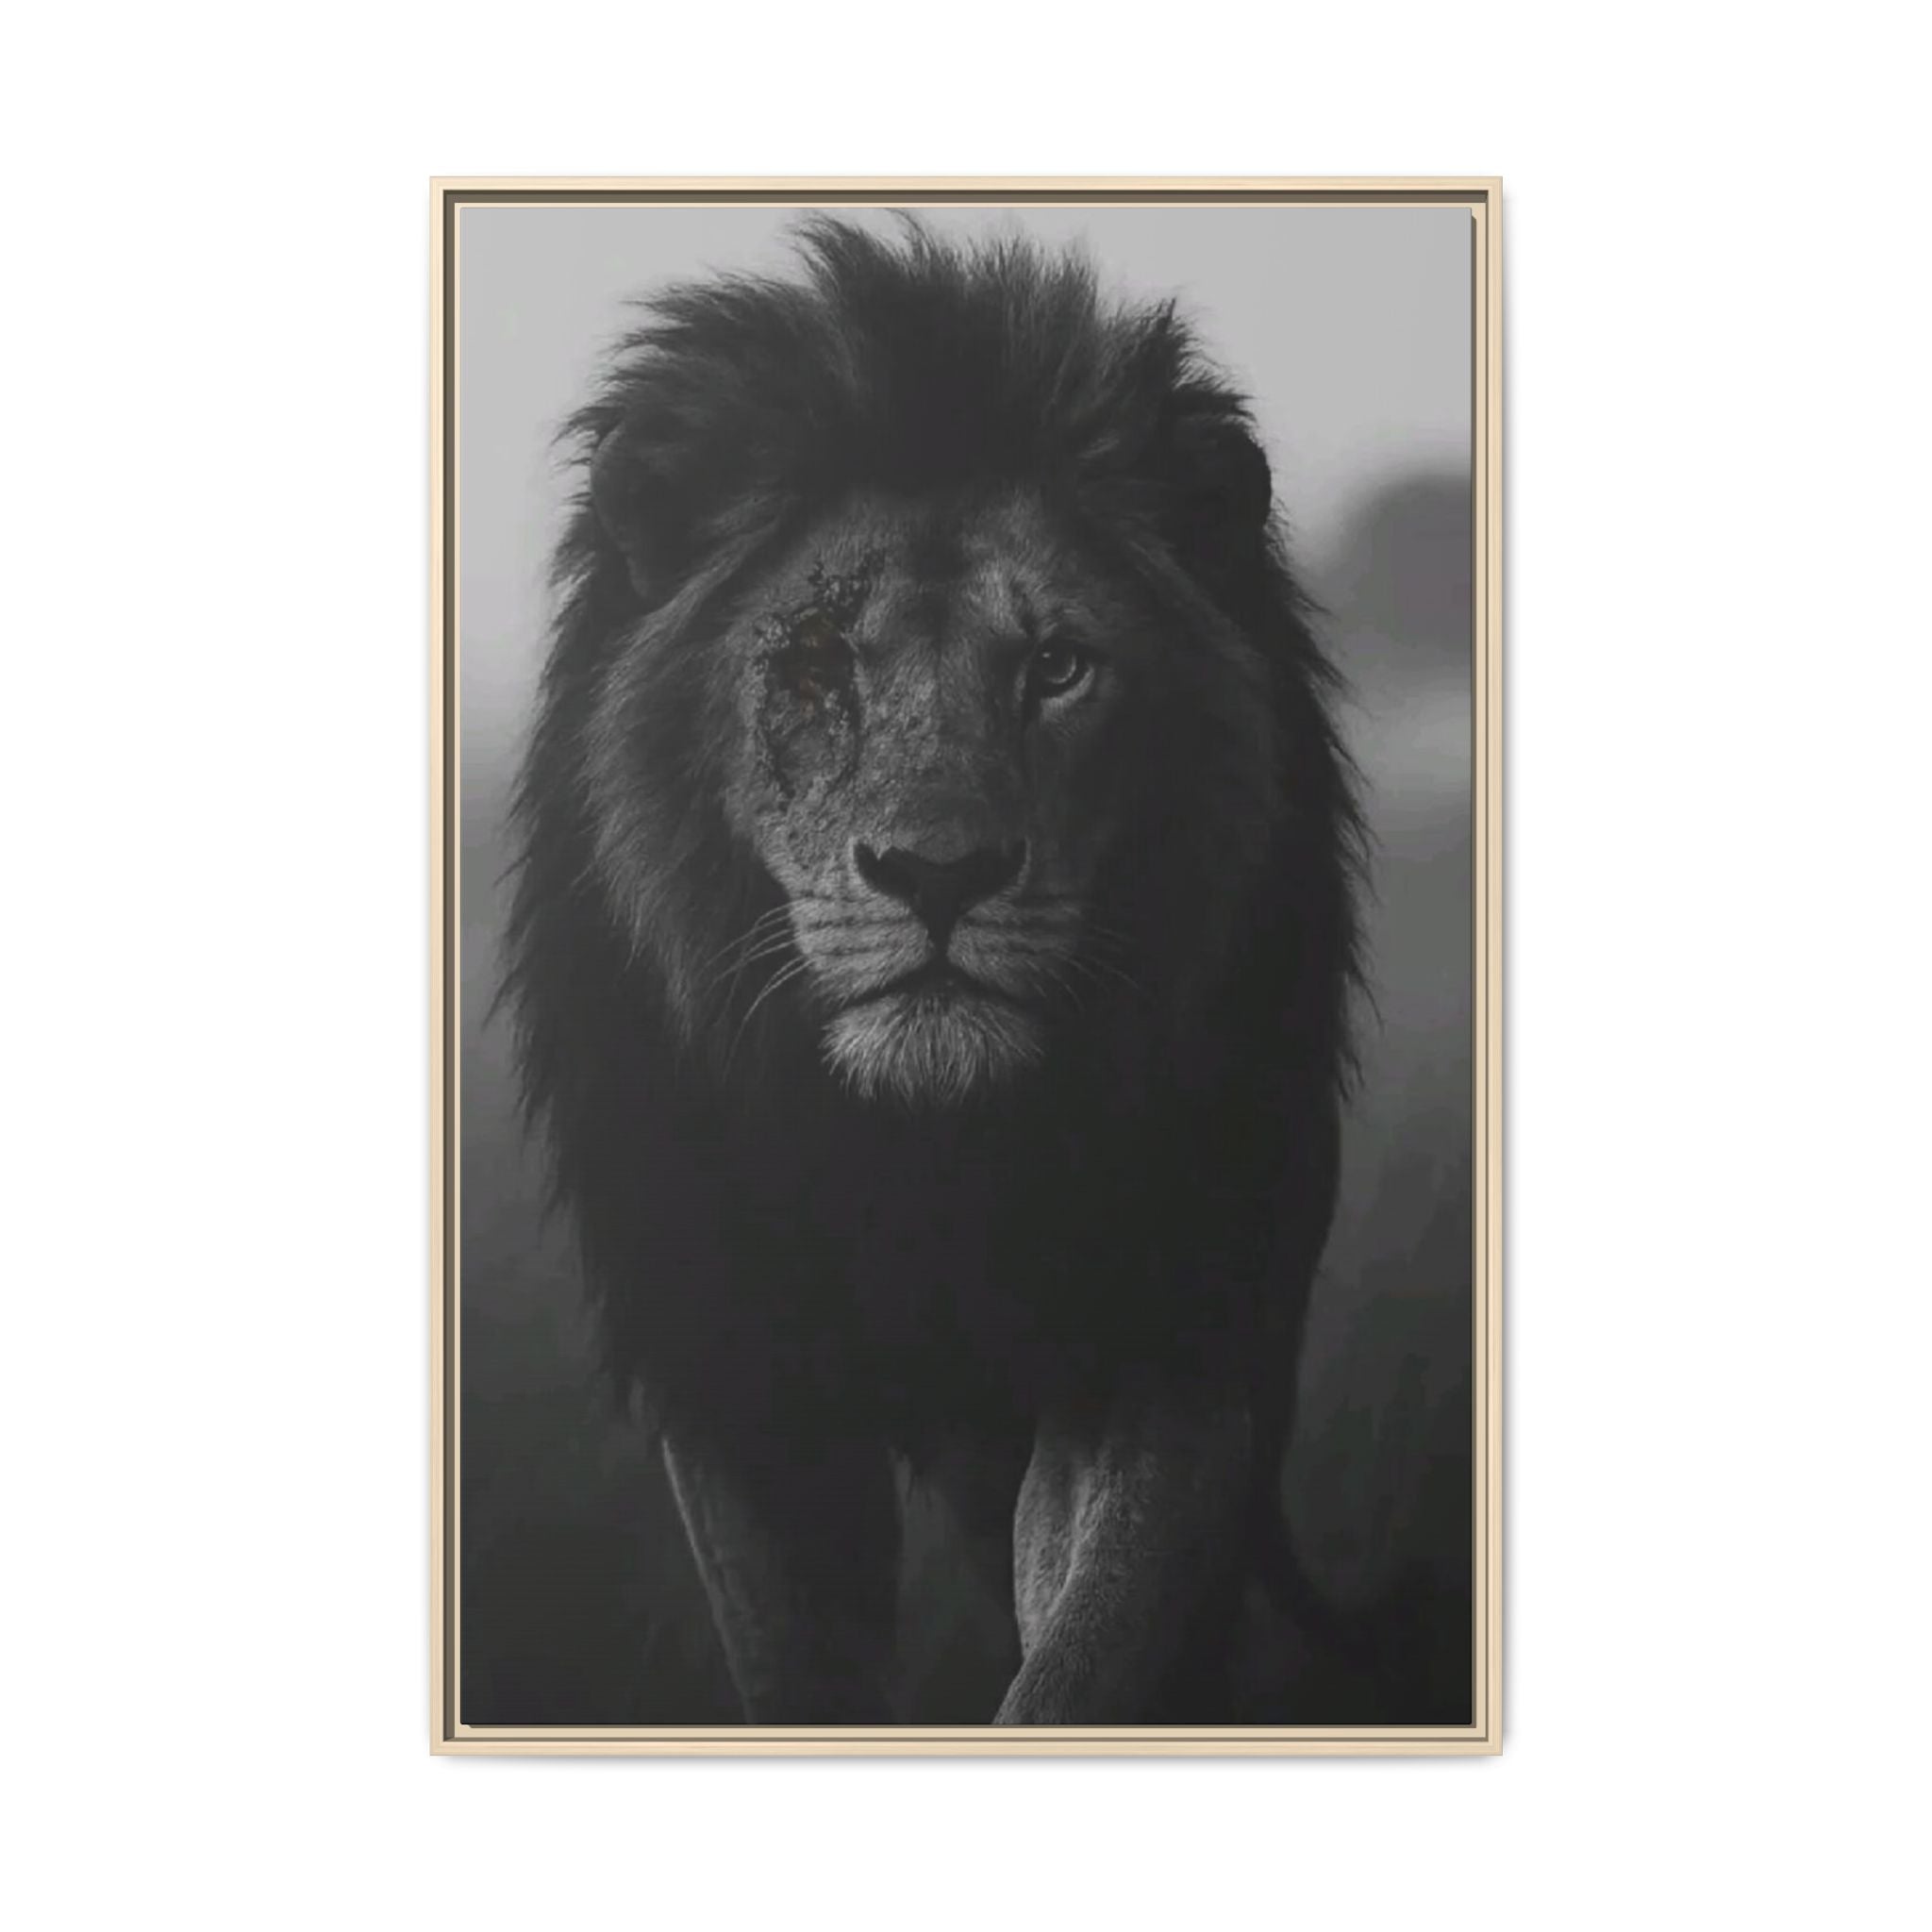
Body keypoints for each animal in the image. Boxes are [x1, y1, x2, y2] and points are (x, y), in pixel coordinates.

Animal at [506, 219, 1362, 1724]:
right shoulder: (737, 1376)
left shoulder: (1162, 1333)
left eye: (1059, 667)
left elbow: (1090, 1650)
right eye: (813, 665)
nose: (939, 872)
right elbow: (798, 1675)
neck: (922, 1157)